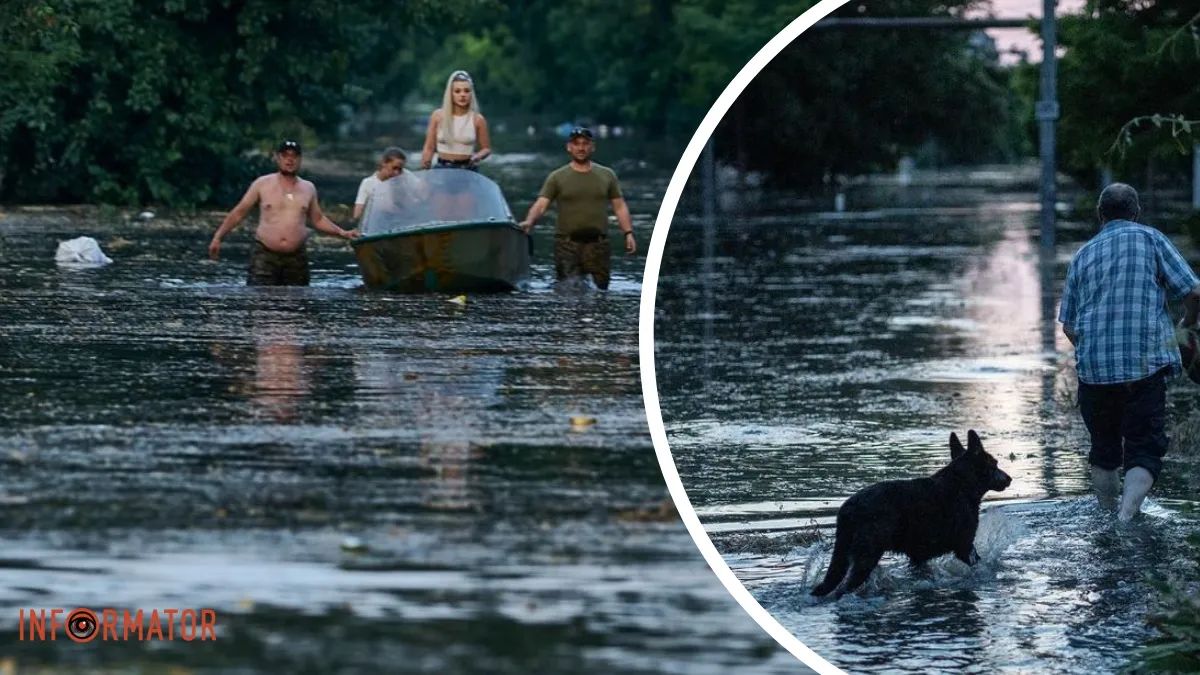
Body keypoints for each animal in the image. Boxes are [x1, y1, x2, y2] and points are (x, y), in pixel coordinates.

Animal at [811, 429, 1008, 593]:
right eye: (995, 464)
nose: (1009, 478)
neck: (963, 486)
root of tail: (847, 511)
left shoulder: (918, 557)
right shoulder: (965, 546)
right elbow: (980, 565)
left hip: (844, 554)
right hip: (867, 555)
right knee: (845, 587)